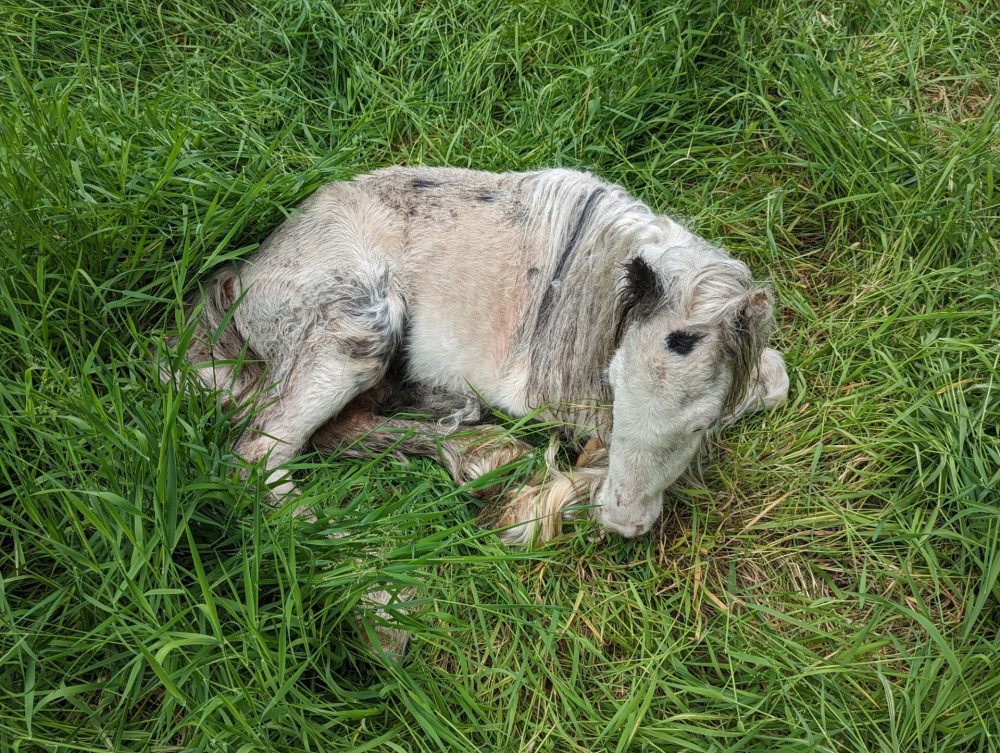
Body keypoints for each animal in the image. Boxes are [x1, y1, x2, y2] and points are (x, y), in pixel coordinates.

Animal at [178, 166, 788, 652]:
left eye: (701, 421)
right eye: (614, 384)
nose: (624, 522)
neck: (581, 283)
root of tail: (241, 279)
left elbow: (776, 379)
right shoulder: (553, 399)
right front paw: (544, 505)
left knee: (339, 431)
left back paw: (479, 451)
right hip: (356, 328)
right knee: (257, 457)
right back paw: (381, 601)